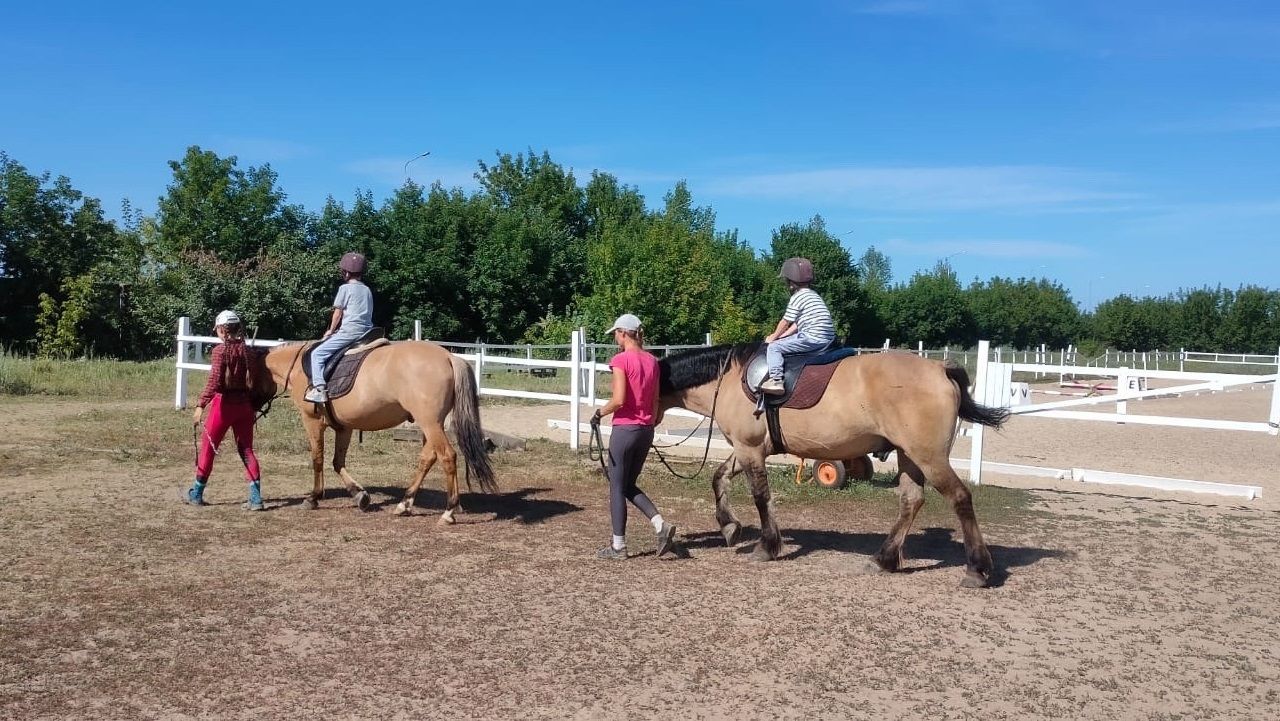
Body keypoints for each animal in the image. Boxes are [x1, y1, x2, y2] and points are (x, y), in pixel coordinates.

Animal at [262, 340, 496, 522]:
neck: (297, 367)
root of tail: (448, 356)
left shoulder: (312, 421)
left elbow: (317, 459)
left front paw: (313, 497)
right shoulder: (345, 427)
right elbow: (337, 462)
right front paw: (360, 496)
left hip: (430, 423)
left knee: (447, 456)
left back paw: (449, 511)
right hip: (432, 424)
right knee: (428, 458)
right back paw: (405, 504)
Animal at [660, 345, 1008, 589]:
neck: (730, 380)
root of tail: (939, 367)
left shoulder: (750, 449)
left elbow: (760, 497)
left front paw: (766, 545)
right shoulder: (747, 449)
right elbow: (719, 478)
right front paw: (729, 526)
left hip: (929, 457)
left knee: (960, 498)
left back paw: (977, 569)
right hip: (910, 457)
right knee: (911, 501)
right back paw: (884, 559)